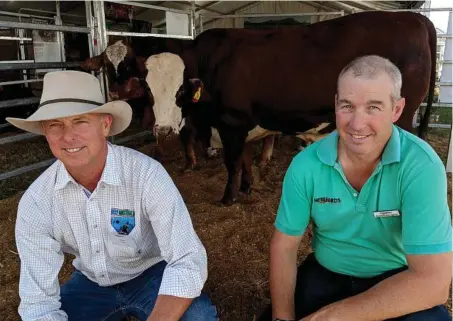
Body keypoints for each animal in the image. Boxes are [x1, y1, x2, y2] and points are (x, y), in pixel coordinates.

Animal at [80, 10, 434, 205]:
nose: (163, 129)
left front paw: (228, 197)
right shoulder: (244, 123)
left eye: (181, 89)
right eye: (149, 89)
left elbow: (233, 162)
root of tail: (413, 17)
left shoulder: (232, 122)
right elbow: (246, 159)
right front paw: (248, 187)